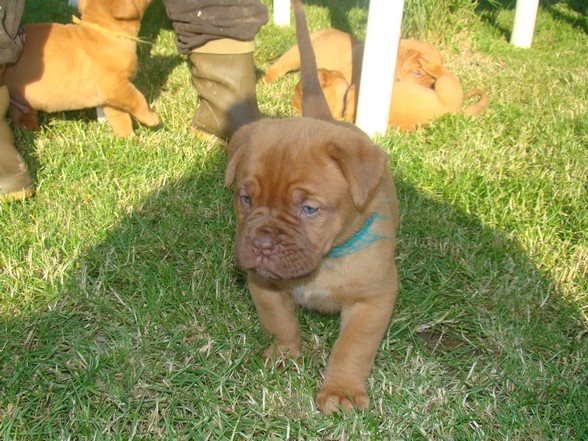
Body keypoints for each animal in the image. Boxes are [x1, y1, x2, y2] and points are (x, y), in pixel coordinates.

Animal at [3, 0, 159, 138]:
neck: (104, 32)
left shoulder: (110, 98)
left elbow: (120, 118)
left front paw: (128, 139)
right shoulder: (117, 87)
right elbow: (138, 99)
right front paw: (151, 118)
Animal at [225, 0, 399, 415]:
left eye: (308, 209)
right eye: (245, 199)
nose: (262, 244)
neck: (325, 260)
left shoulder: (372, 301)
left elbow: (352, 348)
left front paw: (341, 391)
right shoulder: (264, 284)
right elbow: (280, 322)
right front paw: (284, 356)